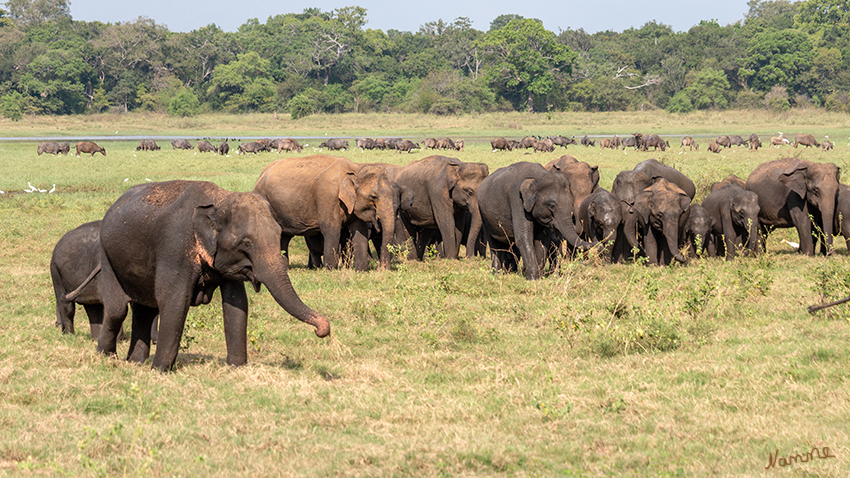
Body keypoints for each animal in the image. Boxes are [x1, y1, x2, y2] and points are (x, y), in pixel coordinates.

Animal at [91, 179, 330, 370]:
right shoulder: (174, 248)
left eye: (280, 234)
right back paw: (106, 357)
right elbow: (175, 301)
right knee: (118, 310)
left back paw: (135, 362)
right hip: (107, 256)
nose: (322, 329)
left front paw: (236, 368)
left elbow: (237, 303)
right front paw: (159, 371)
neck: (219, 199)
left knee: (145, 310)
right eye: (246, 243)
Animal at [253, 156, 396, 270]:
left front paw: (361, 270)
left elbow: (360, 231)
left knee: (284, 237)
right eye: (374, 196)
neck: (355, 168)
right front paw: (330, 270)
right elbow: (331, 230)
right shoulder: (329, 197)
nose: (381, 269)